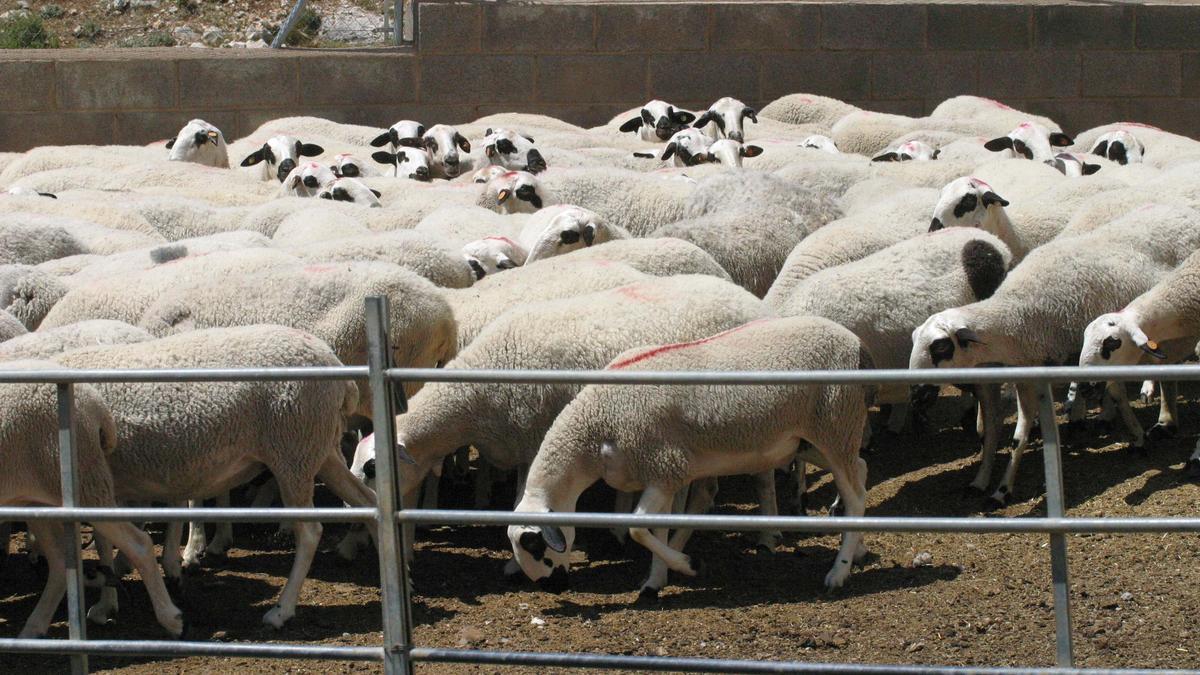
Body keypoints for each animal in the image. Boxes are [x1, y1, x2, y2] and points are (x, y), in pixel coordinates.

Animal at [0, 360, 184, 634]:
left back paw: (172, 619)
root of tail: (95, 404)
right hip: (38, 502)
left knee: (139, 544)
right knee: (60, 562)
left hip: (84, 483)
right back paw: (33, 629)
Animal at [52, 326, 374, 624]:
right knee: (367, 500)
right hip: (317, 448)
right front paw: (106, 604)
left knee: (310, 532)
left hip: (293, 451)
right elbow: (104, 544)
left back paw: (281, 611)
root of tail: (333, 363)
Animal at [508, 314, 873, 593]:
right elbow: (658, 528)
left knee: (856, 496)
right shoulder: (664, 473)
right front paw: (655, 581)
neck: (595, 428)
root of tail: (857, 345)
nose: (553, 588)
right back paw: (857, 549)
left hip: (835, 423)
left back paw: (838, 572)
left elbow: (638, 528)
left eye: (535, 546)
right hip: (809, 439)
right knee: (860, 471)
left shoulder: (663, 465)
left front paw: (688, 565)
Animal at [912, 205, 1200, 504]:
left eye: (939, 346)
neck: (1014, 316)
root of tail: (1182, 209)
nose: (917, 392)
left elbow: (1022, 433)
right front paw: (985, 483)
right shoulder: (1021, 376)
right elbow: (997, 433)